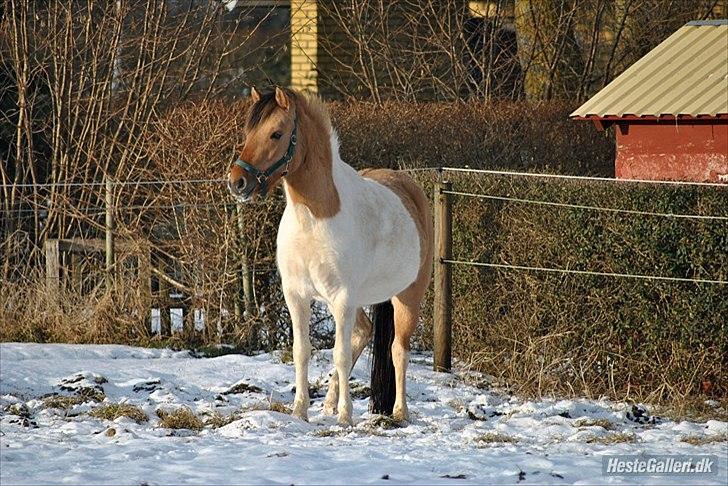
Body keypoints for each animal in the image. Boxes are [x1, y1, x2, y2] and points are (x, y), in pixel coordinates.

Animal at [228, 87, 432, 426]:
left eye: (276, 133)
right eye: (247, 132)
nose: (237, 182)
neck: (314, 219)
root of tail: (409, 189)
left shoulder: (342, 298)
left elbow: (340, 354)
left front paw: (345, 417)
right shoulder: (296, 295)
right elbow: (302, 350)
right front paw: (300, 411)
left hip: (406, 297)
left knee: (398, 350)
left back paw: (399, 412)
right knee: (363, 333)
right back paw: (328, 403)